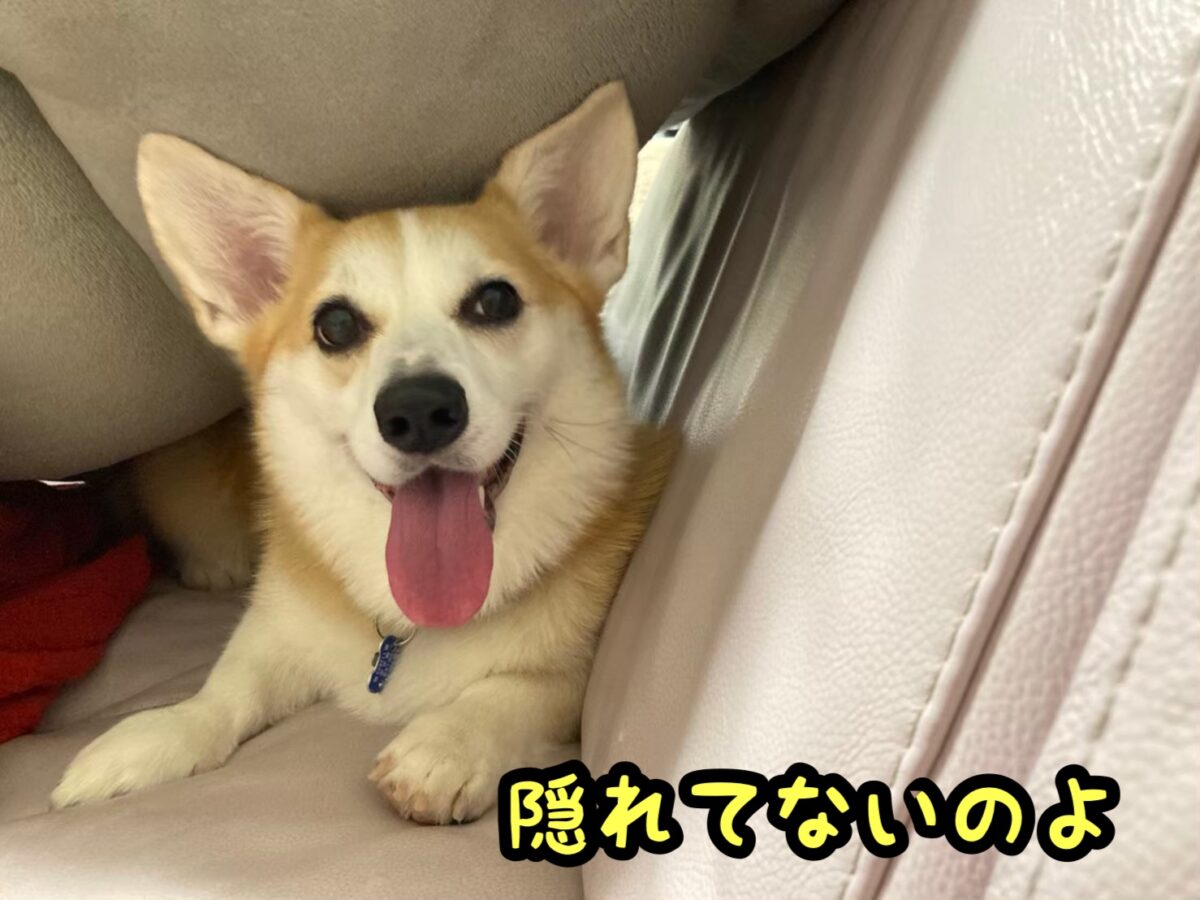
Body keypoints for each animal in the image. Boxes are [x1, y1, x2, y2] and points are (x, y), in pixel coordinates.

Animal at [51, 82, 672, 824]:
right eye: (336, 325)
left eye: (495, 301)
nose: (419, 411)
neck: (409, 621)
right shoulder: (276, 632)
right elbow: (225, 691)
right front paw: (158, 736)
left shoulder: (572, 673)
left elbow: (522, 688)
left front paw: (446, 745)